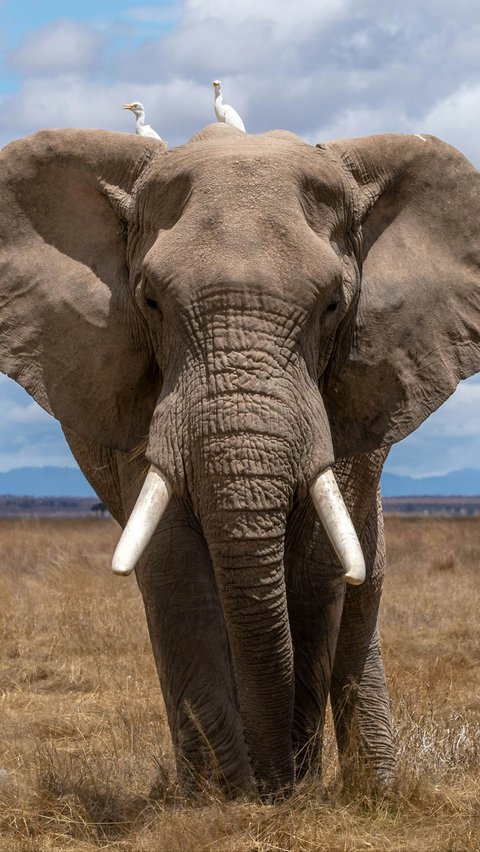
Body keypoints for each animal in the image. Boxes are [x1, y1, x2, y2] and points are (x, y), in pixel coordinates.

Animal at [0, 121, 480, 800]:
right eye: (150, 302)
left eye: (334, 305)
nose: (274, 786)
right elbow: (175, 566)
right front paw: (222, 800)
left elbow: (316, 568)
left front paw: (288, 792)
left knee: (364, 587)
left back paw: (377, 793)